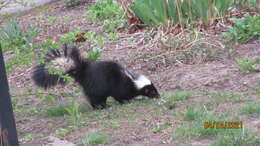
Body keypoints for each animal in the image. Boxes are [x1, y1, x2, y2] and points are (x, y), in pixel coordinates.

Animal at [31, 45, 159, 108]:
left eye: (155, 89)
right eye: (152, 91)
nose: (158, 96)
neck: (132, 81)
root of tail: (83, 72)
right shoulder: (120, 86)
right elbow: (119, 96)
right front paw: (125, 101)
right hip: (97, 87)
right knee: (94, 98)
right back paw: (100, 107)